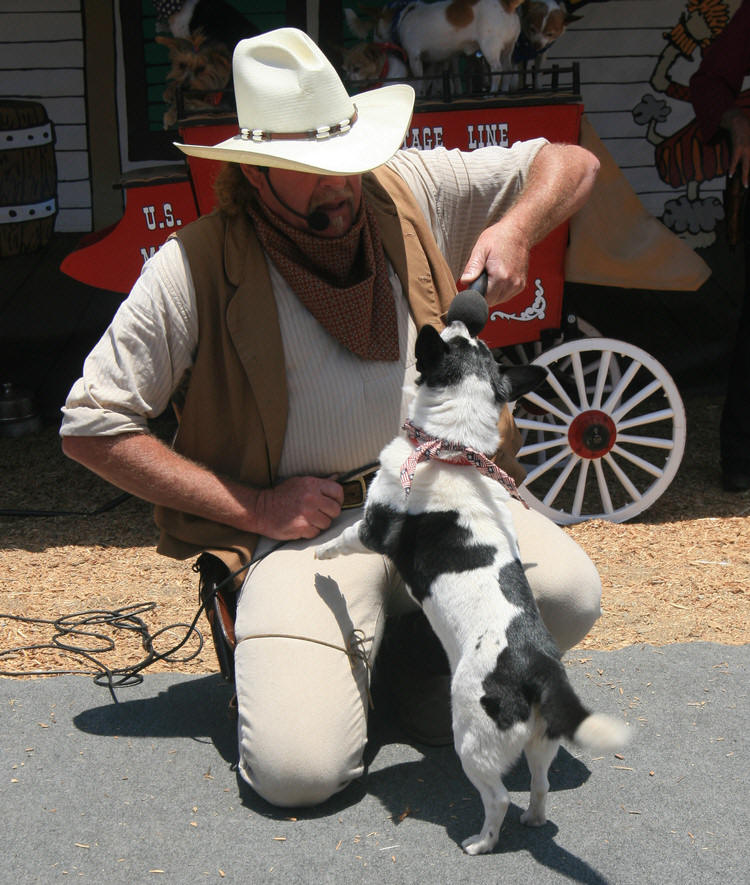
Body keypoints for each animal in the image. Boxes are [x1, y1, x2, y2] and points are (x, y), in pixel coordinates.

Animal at [314, 294, 632, 852]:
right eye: (476, 344)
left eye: (455, 338)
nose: (461, 313)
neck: (451, 450)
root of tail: (540, 669)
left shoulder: (373, 528)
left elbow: (343, 540)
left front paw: (320, 561)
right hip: (540, 744)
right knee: (539, 785)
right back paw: (533, 820)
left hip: (472, 738)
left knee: (498, 798)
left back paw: (481, 842)